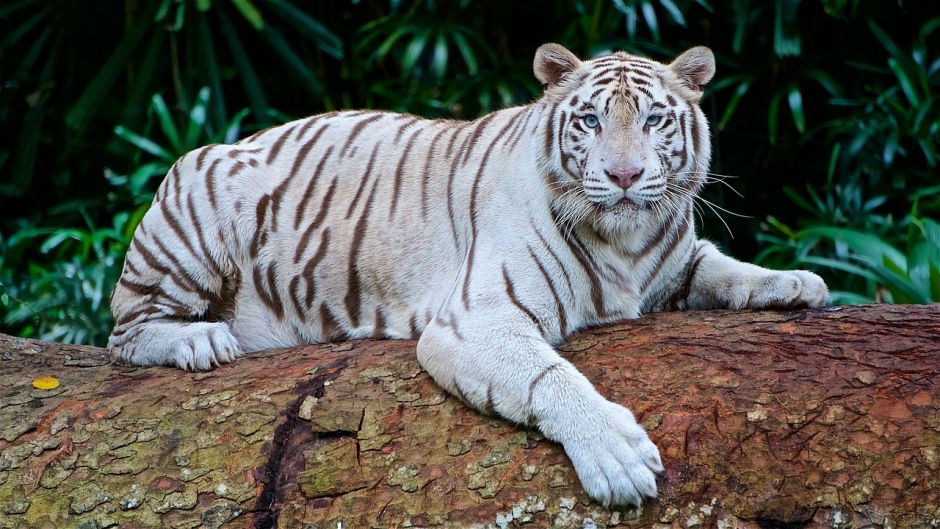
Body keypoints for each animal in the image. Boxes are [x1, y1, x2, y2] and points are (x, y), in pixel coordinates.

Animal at [110, 43, 828, 506]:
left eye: (653, 119)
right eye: (590, 119)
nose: (624, 175)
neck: (626, 242)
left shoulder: (675, 262)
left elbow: (723, 266)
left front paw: (797, 281)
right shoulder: (478, 319)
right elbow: (551, 377)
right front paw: (617, 457)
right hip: (195, 205)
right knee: (126, 332)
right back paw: (200, 340)